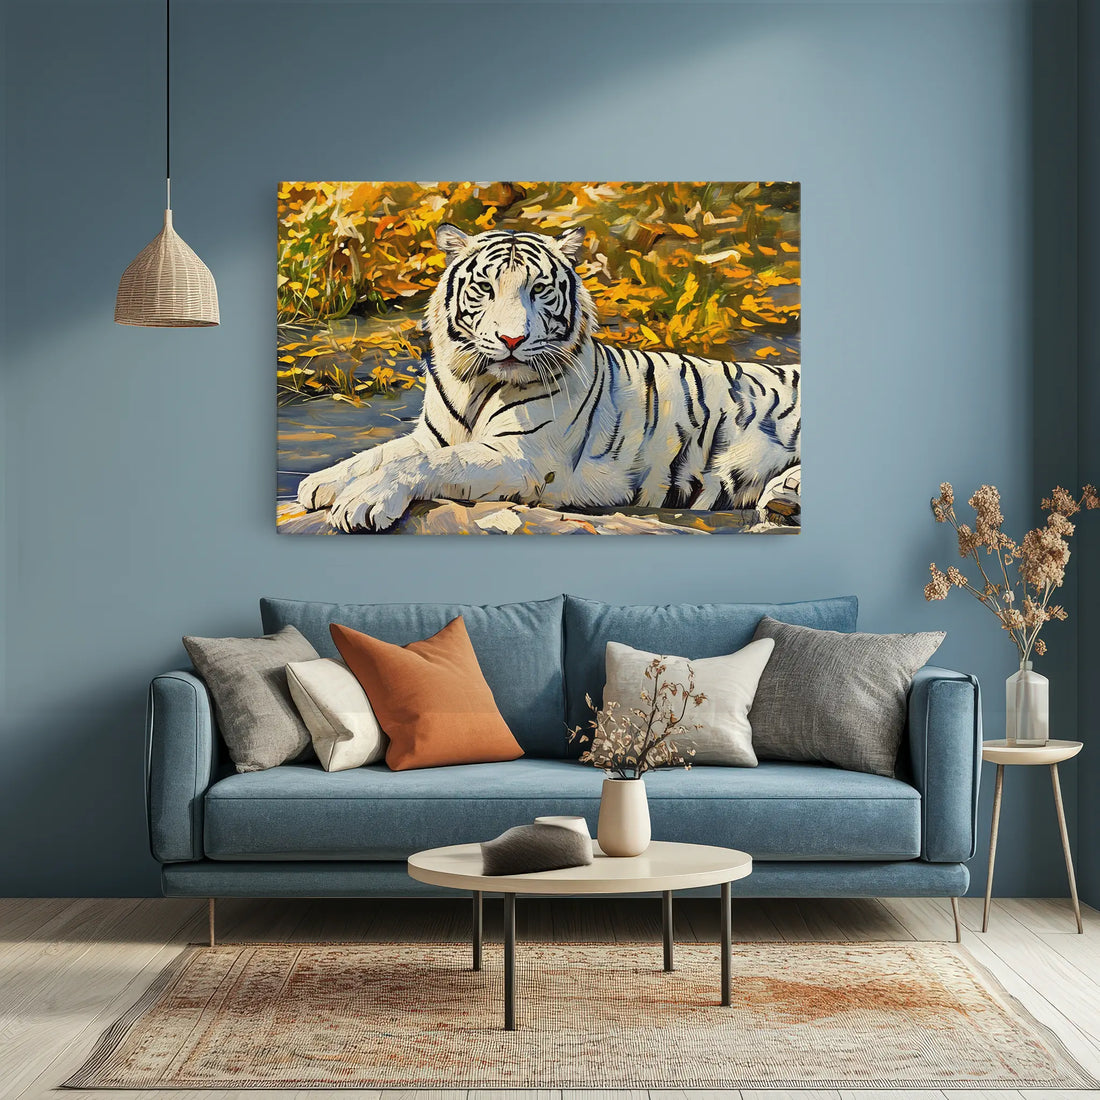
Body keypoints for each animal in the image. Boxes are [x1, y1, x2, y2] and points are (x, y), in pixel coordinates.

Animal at [296, 223, 801, 532]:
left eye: (538, 290)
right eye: (485, 288)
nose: (511, 338)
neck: (476, 382)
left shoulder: (521, 456)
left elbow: (425, 464)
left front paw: (362, 502)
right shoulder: (431, 436)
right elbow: (380, 454)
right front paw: (321, 482)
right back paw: (784, 500)